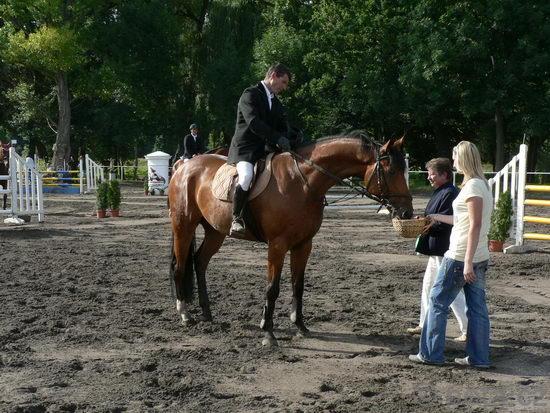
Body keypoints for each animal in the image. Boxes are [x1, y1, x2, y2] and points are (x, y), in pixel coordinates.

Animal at [168, 133, 413, 346]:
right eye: (391, 171)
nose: (407, 213)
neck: (303, 182)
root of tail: (184, 167)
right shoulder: (277, 245)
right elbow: (272, 288)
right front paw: (268, 332)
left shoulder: (304, 245)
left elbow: (298, 285)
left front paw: (300, 326)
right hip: (183, 226)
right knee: (180, 266)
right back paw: (185, 314)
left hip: (215, 232)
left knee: (199, 262)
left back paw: (207, 312)